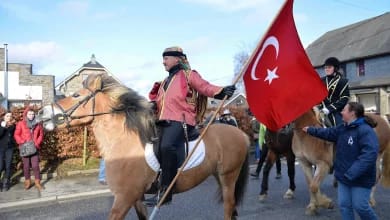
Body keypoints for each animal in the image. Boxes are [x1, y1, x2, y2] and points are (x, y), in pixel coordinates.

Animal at [37, 74, 250, 220]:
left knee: (229, 207)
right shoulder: (136, 198)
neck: (124, 141)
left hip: (229, 176)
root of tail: (242, 134)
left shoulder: (124, 198)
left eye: (75, 95)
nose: (42, 113)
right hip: (219, 176)